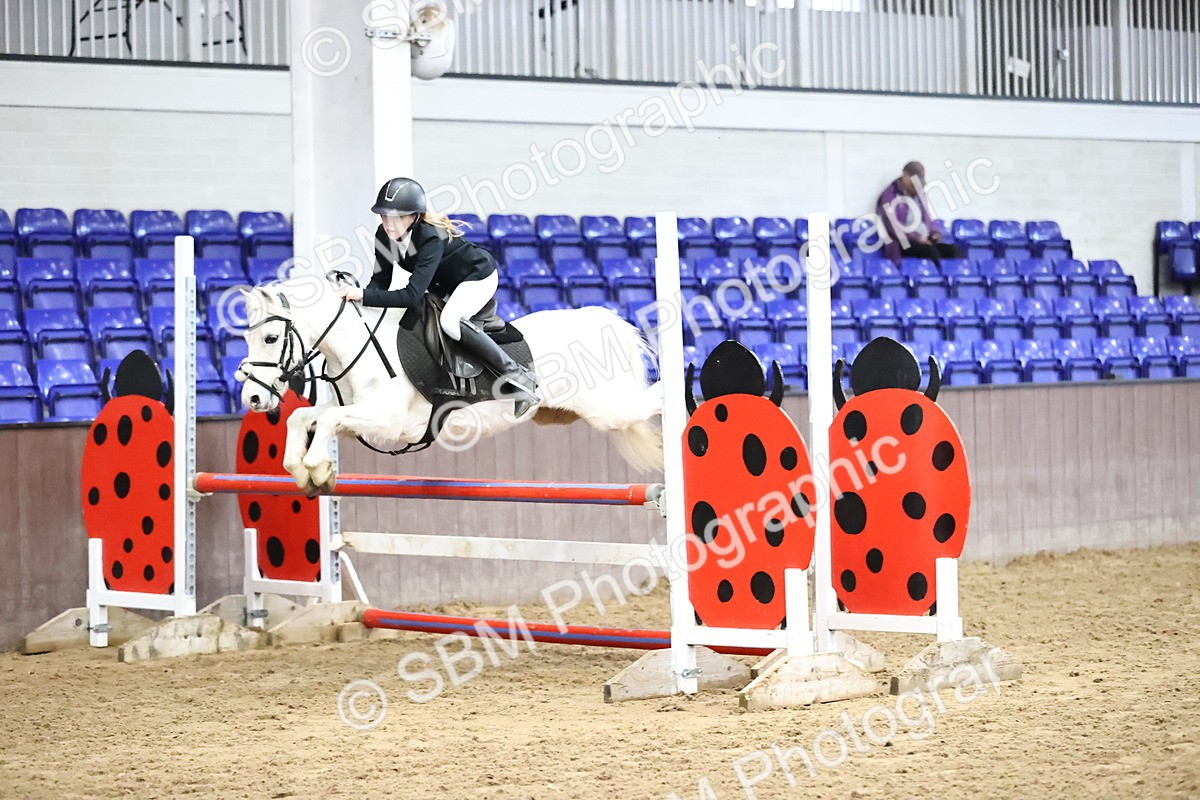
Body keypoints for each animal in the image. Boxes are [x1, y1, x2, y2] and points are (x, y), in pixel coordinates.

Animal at [234, 278, 664, 495]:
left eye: (270, 338)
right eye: (246, 338)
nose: (252, 397)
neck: (359, 346)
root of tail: (597, 320)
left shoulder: (388, 422)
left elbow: (325, 421)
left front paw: (316, 467)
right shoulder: (357, 415)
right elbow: (306, 418)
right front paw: (310, 472)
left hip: (608, 411)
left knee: (652, 400)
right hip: (565, 414)